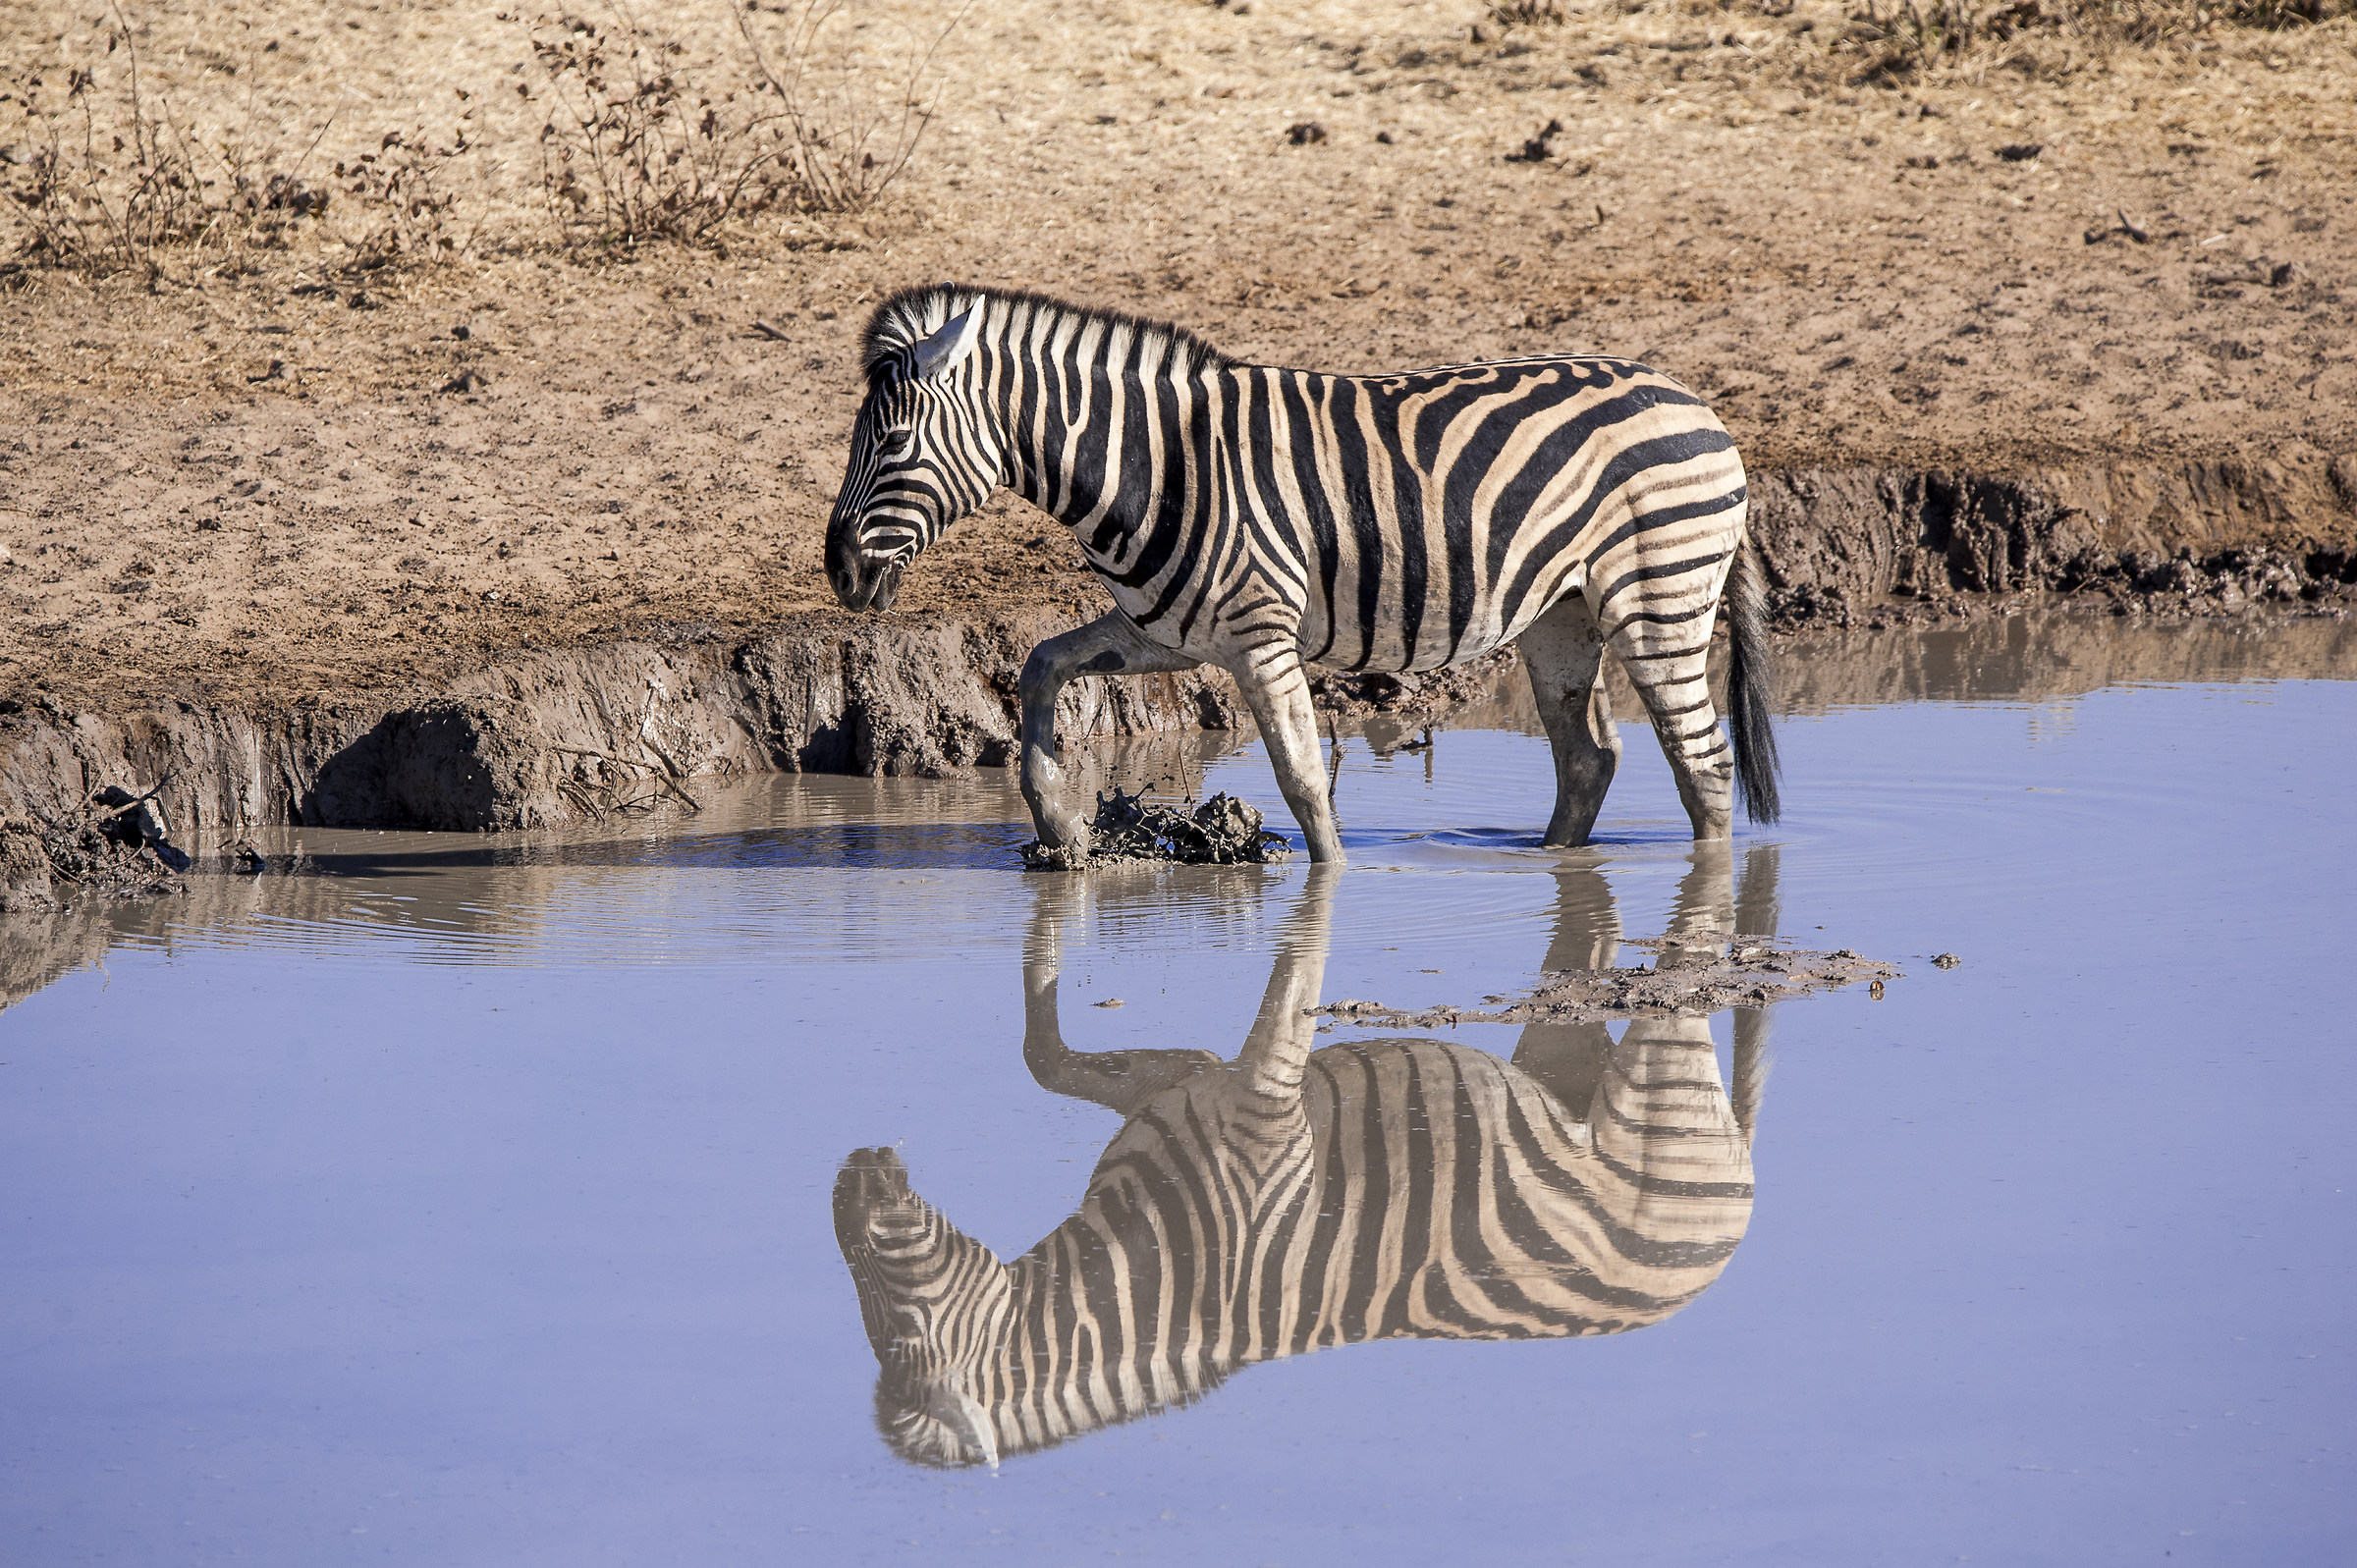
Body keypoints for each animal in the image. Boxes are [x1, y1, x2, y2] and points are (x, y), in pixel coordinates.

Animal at [824, 285, 1779, 864]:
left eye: (894, 442)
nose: (837, 569)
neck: (1157, 465)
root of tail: (1702, 405)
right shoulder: (1165, 632)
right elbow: (1038, 665)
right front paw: (1057, 817)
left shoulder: (1258, 637)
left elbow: (1303, 782)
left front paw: (1327, 893)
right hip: (1563, 616)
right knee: (1589, 759)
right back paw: (1550, 866)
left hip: (1660, 603)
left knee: (1704, 765)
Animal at [832, 854, 1766, 1468]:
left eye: (900, 1322)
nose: (846, 1179)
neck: (1156, 1263)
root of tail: (1718, 1253)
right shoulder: (1179, 1087)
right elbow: (1053, 1064)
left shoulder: (1259, 1114)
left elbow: (1290, 987)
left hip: (1661, 1071)